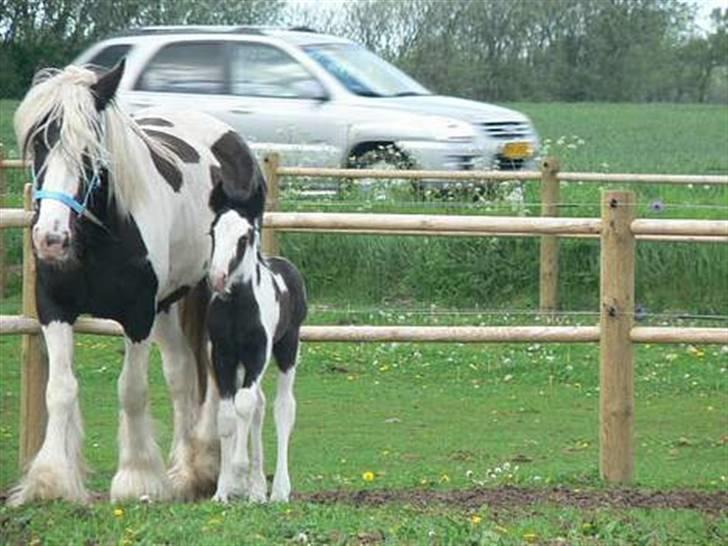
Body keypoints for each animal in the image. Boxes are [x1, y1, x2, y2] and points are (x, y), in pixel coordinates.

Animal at [9, 61, 266, 504]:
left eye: (90, 153)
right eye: (40, 144)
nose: (51, 239)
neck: (99, 238)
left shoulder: (137, 315)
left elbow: (131, 390)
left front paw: (137, 479)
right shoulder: (54, 309)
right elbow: (60, 389)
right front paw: (51, 481)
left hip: (210, 295)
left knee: (211, 372)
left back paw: (205, 467)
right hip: (167, 305)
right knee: (182, 374)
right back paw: (185, 473)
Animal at [206, 188, 306, 502]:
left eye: (244, 237)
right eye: (212, 232)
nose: (217, 279)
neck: (238, 306)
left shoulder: (258, 353)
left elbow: (244, 404)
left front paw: (239, 472)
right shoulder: (223, 355)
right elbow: (227, 415)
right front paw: (224, 491)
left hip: (288, 348)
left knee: (283, 408)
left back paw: (279, 491)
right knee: (260, 405)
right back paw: (258, 489)